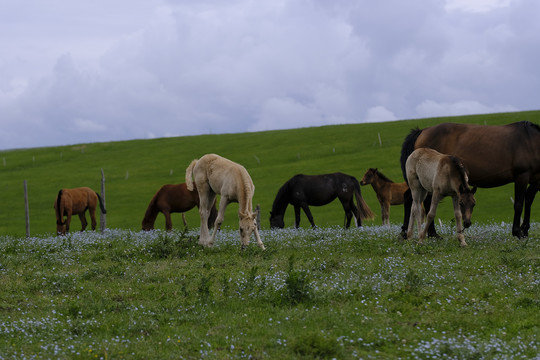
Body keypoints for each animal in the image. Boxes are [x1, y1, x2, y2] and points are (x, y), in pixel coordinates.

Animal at [398, 121, 540, 239]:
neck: (531, 141)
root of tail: (422, 131)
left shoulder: (536, 180)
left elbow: (529, 200)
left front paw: (524, 230)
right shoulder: (522, 176)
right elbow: (519, 204)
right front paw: (517, 232)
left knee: (413, 199)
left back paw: (417, 232)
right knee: (419, 200)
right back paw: (426, 233)